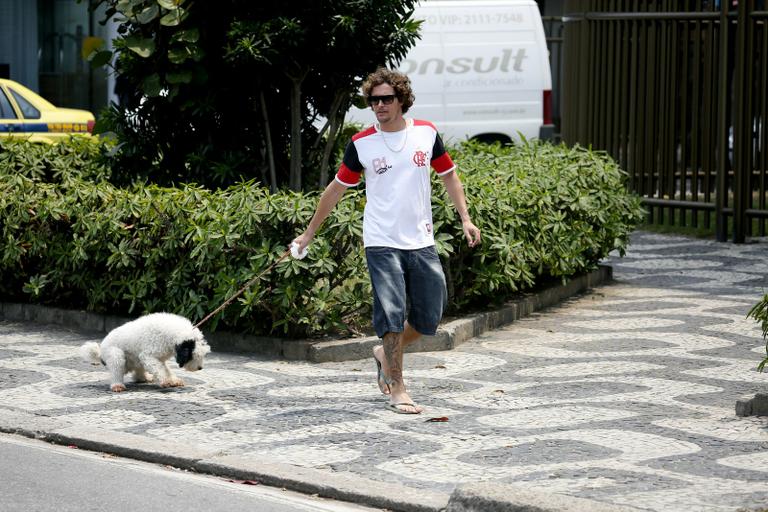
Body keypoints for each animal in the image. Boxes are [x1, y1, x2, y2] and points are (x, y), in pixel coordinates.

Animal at [80, 312, 210, 392]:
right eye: (194, 356)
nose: (200, 368)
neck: (172, 334)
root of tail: (100, 352)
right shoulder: (148, 356)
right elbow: (159, 369)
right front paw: (166, 381)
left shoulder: (158, 358)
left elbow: (165, 369)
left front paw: (173, 380)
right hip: (116, 355)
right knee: (116, 370)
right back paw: (117, 385)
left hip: (135, 359)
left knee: (138, 371)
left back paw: (143, 378)